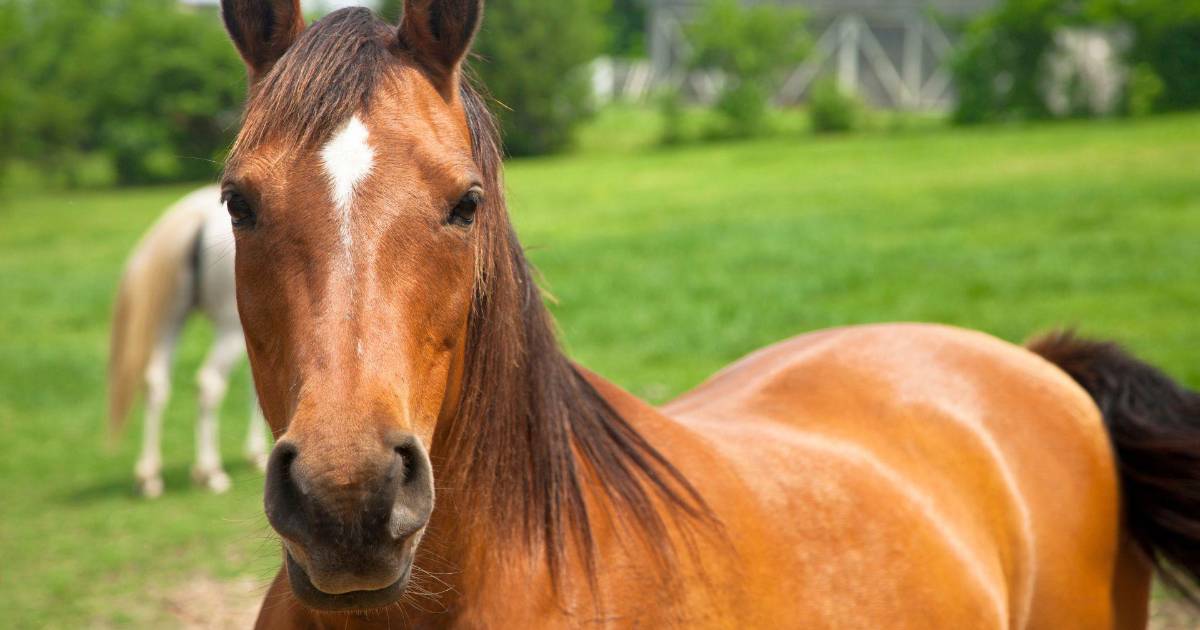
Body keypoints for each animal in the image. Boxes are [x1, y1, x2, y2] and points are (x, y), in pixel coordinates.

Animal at [108, 186, 270, 497]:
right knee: (209, 383)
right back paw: (210, 472)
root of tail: (196, 215)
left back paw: (149, 476)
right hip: (229, 328)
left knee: (156, 382)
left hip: (170, 321)